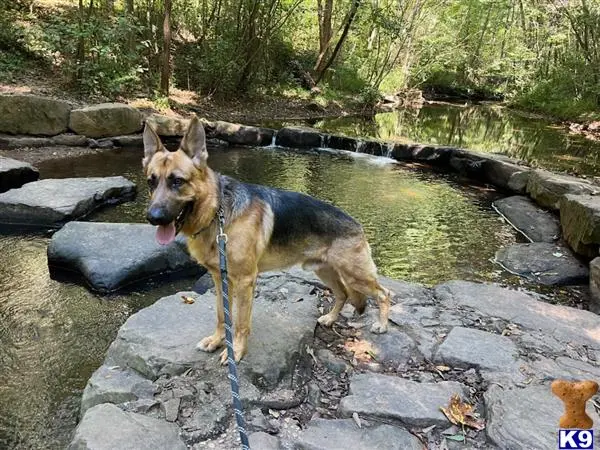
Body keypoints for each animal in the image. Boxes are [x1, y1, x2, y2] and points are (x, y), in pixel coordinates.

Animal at [143, 116, 392, 362]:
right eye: (151, 182)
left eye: (177, 181)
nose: (153, 217)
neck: (217, 213)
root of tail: (357, 224)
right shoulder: (220, 279)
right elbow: (222, 316)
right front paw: (216, 341)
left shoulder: (245, 281)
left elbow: (240, 323)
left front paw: (237, 352)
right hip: (325, 272)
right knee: (343, 294)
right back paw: (330, 319)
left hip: (355, 275)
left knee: (383, 293)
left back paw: (381, 325)